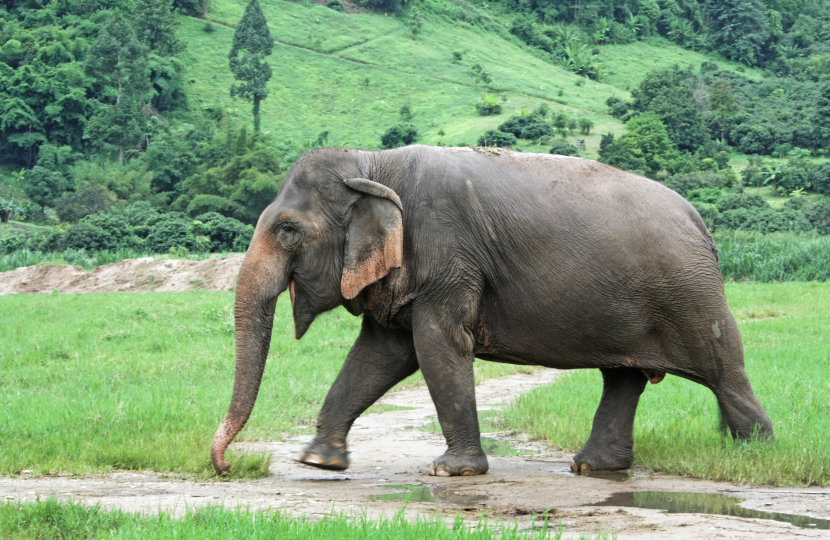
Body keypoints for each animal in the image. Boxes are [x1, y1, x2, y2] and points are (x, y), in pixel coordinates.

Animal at [210, 145, 773, 477]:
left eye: (287, 230)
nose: (224, 466)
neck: (374, 165)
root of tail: (703, 226)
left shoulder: (448, 255)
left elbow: (436, 346)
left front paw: (452, 471)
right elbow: (380, 353)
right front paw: (319, 461)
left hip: (691, 293)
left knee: (725, 371)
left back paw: (753, 454)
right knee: (623, 378)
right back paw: (594, 468)